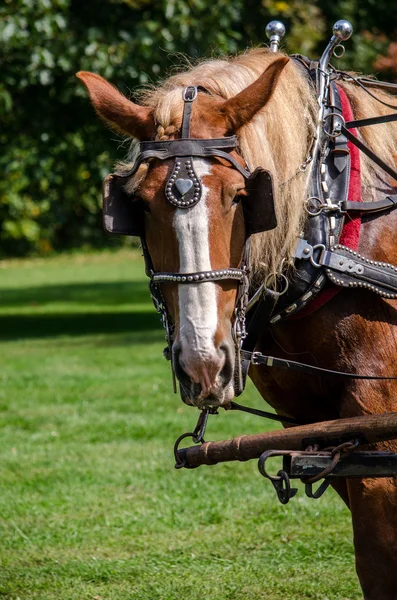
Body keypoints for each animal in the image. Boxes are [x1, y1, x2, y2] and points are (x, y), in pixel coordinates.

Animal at [76, 48, 396, 600]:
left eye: (241, 196)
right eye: (137, 204)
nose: (204, 363)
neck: (334, 217)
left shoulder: (380, 433)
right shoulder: (320, 431)